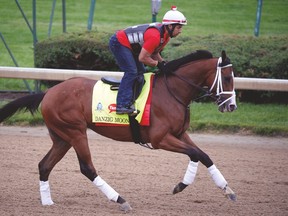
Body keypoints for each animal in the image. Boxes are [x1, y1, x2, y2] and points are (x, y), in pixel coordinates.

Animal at [0, 49, 236, 212]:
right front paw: (180, 185)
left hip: (61, 137)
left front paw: (228, 190)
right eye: (227, 78)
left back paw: (47, 202)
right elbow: (195, 153)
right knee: (87, 168)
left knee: (44, 165)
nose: (231, 106)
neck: (172, 91)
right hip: (75, 132)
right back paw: (120, 200)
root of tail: (49, 93)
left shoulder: (179, 134)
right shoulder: (160, 139)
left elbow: (204, 155)